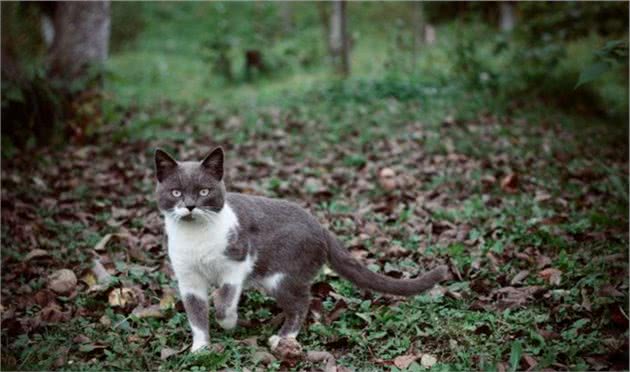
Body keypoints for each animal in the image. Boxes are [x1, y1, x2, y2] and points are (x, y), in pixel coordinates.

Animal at [156, 147, 452, 354]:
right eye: (176, 193)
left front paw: (228, 323)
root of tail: (320, 227)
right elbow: (195, 313)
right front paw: (200, 348)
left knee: (301, 303)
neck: (196, 238)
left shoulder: (238, 260)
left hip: (282, 274)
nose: (190, 206)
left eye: (204, 191)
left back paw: (283, 337)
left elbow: (225, 300)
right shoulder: (188, 278)